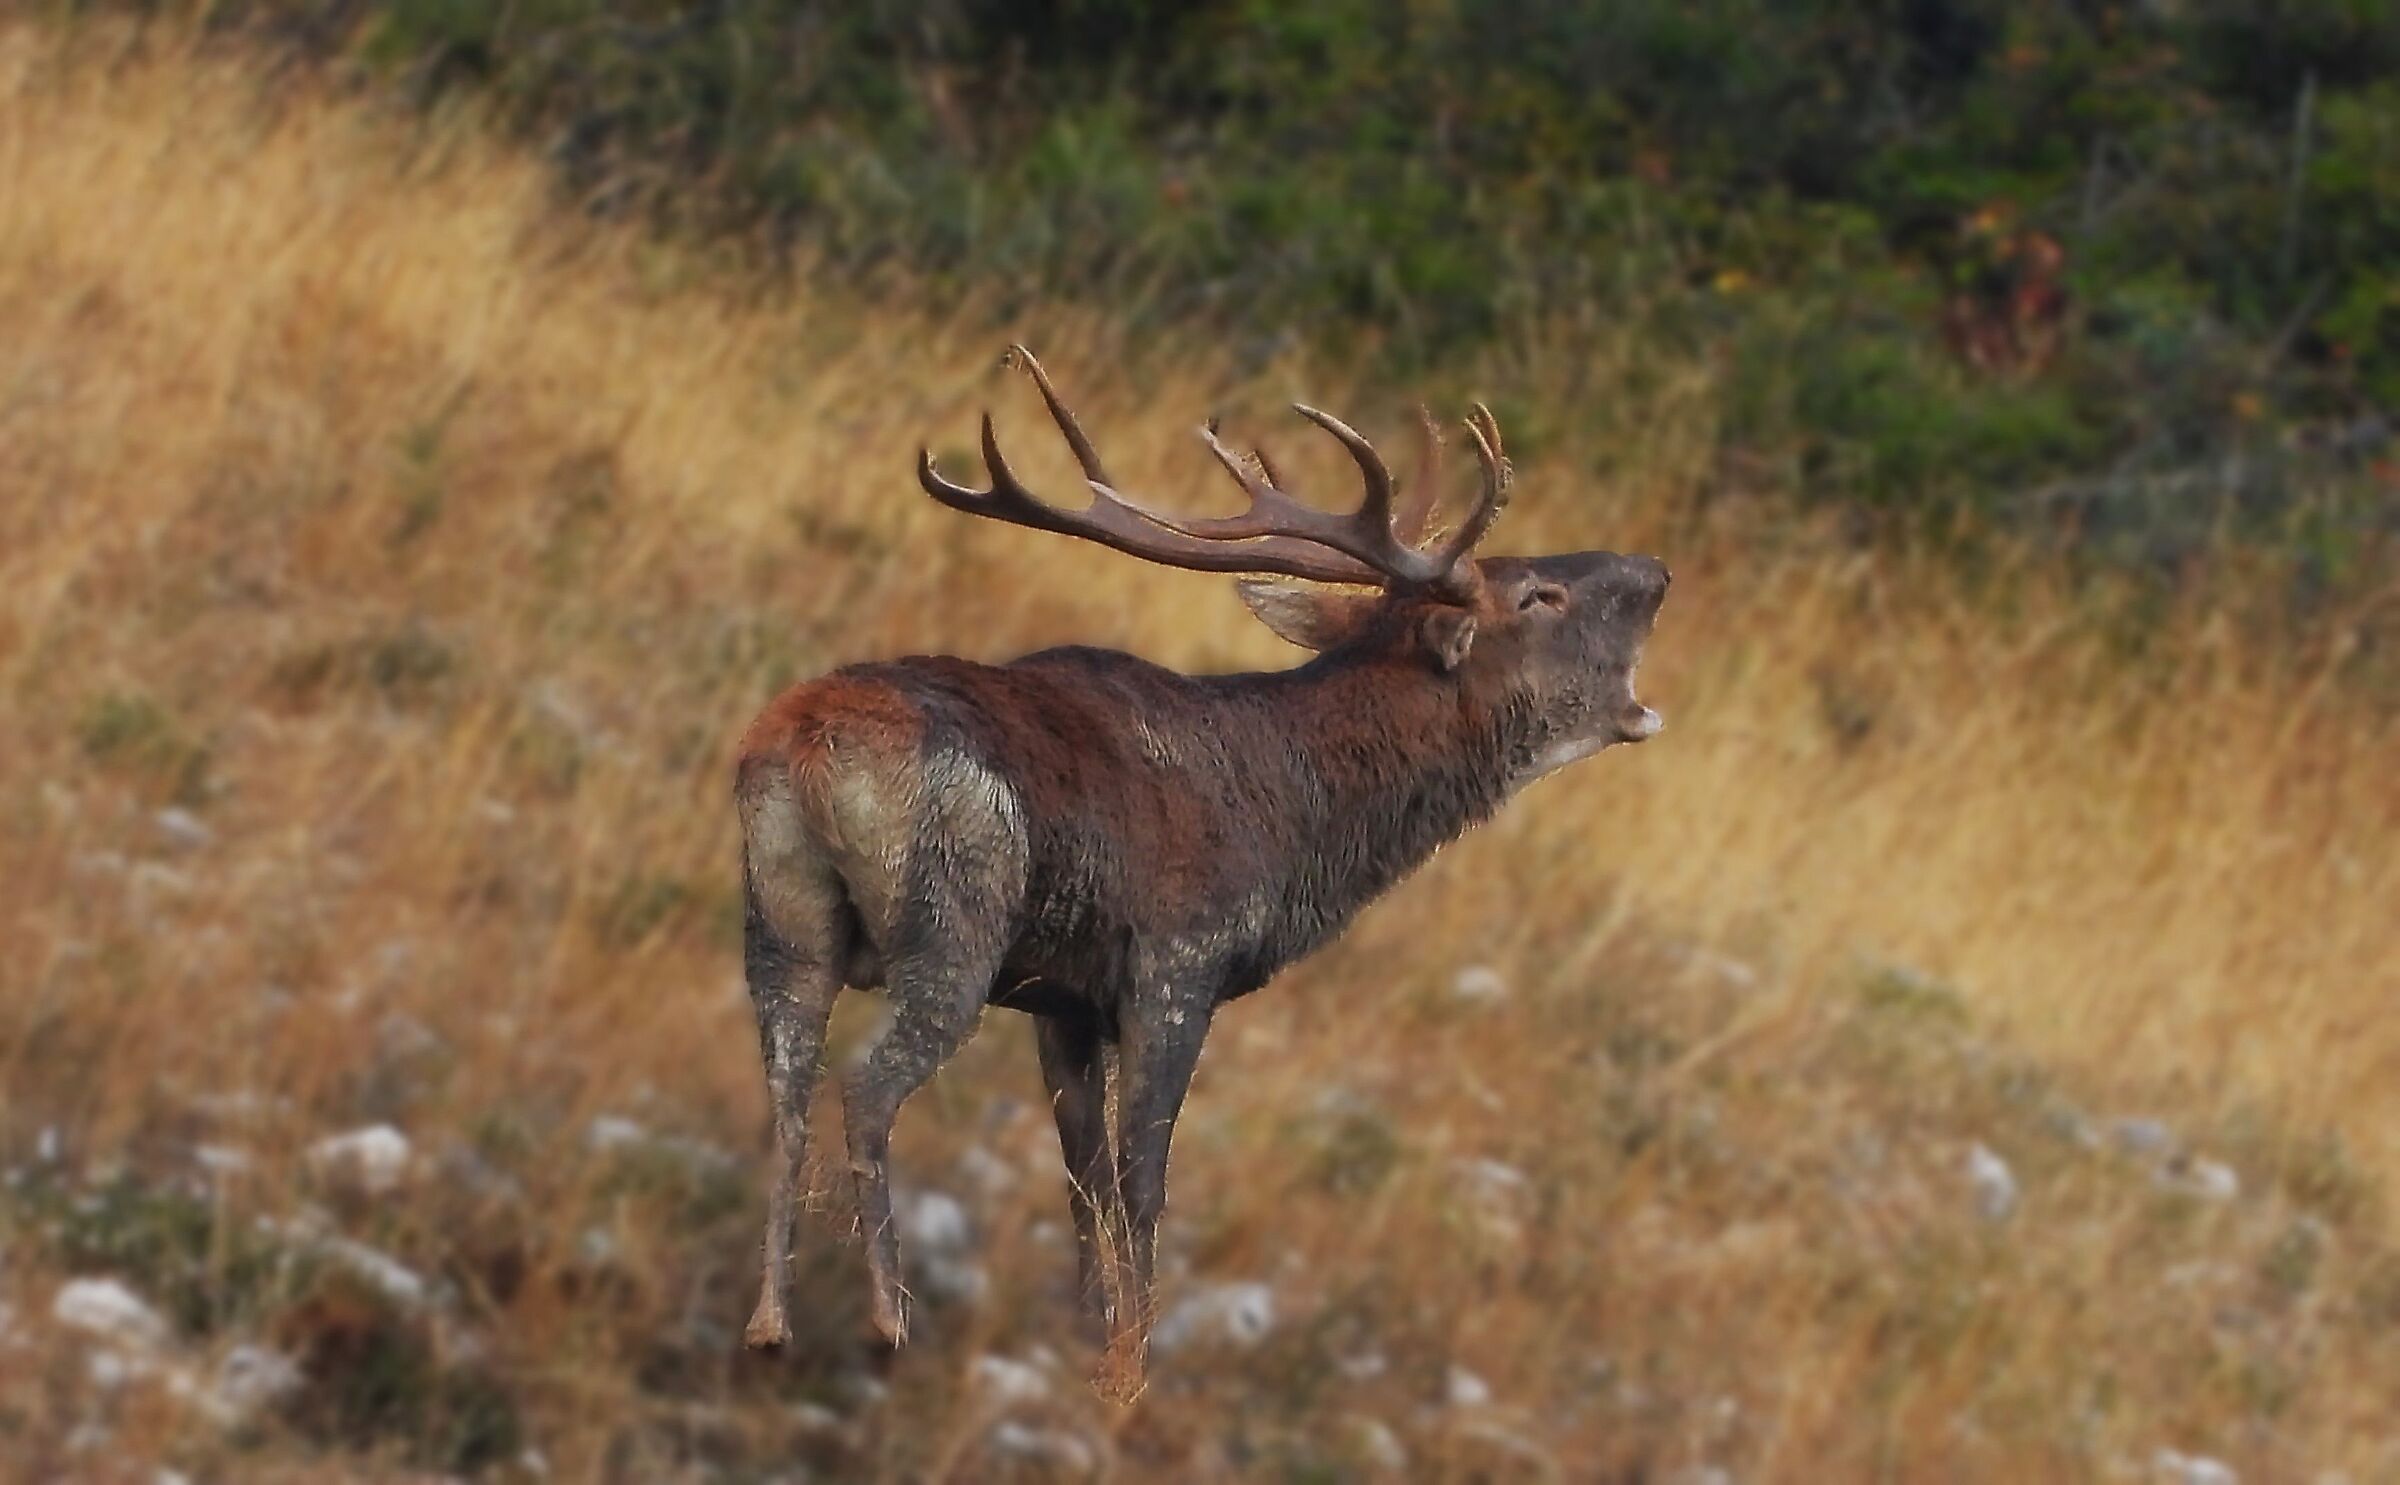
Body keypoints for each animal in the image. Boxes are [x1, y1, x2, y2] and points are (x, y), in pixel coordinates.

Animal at [733, 346, 1669, 1397]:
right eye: (1535, 595)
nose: (1656, 569)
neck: (1295, 826)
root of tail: (811, 741)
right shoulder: (1179, 961)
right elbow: (1143, 1183)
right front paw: (1131, 1375)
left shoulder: (1063, 997)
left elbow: (1081, 1176)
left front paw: (1088, 1337)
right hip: (955, 920)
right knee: (866, 1088)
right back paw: (885, 1318)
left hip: (781, 914)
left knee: (786, 1088)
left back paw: (769, 1323)